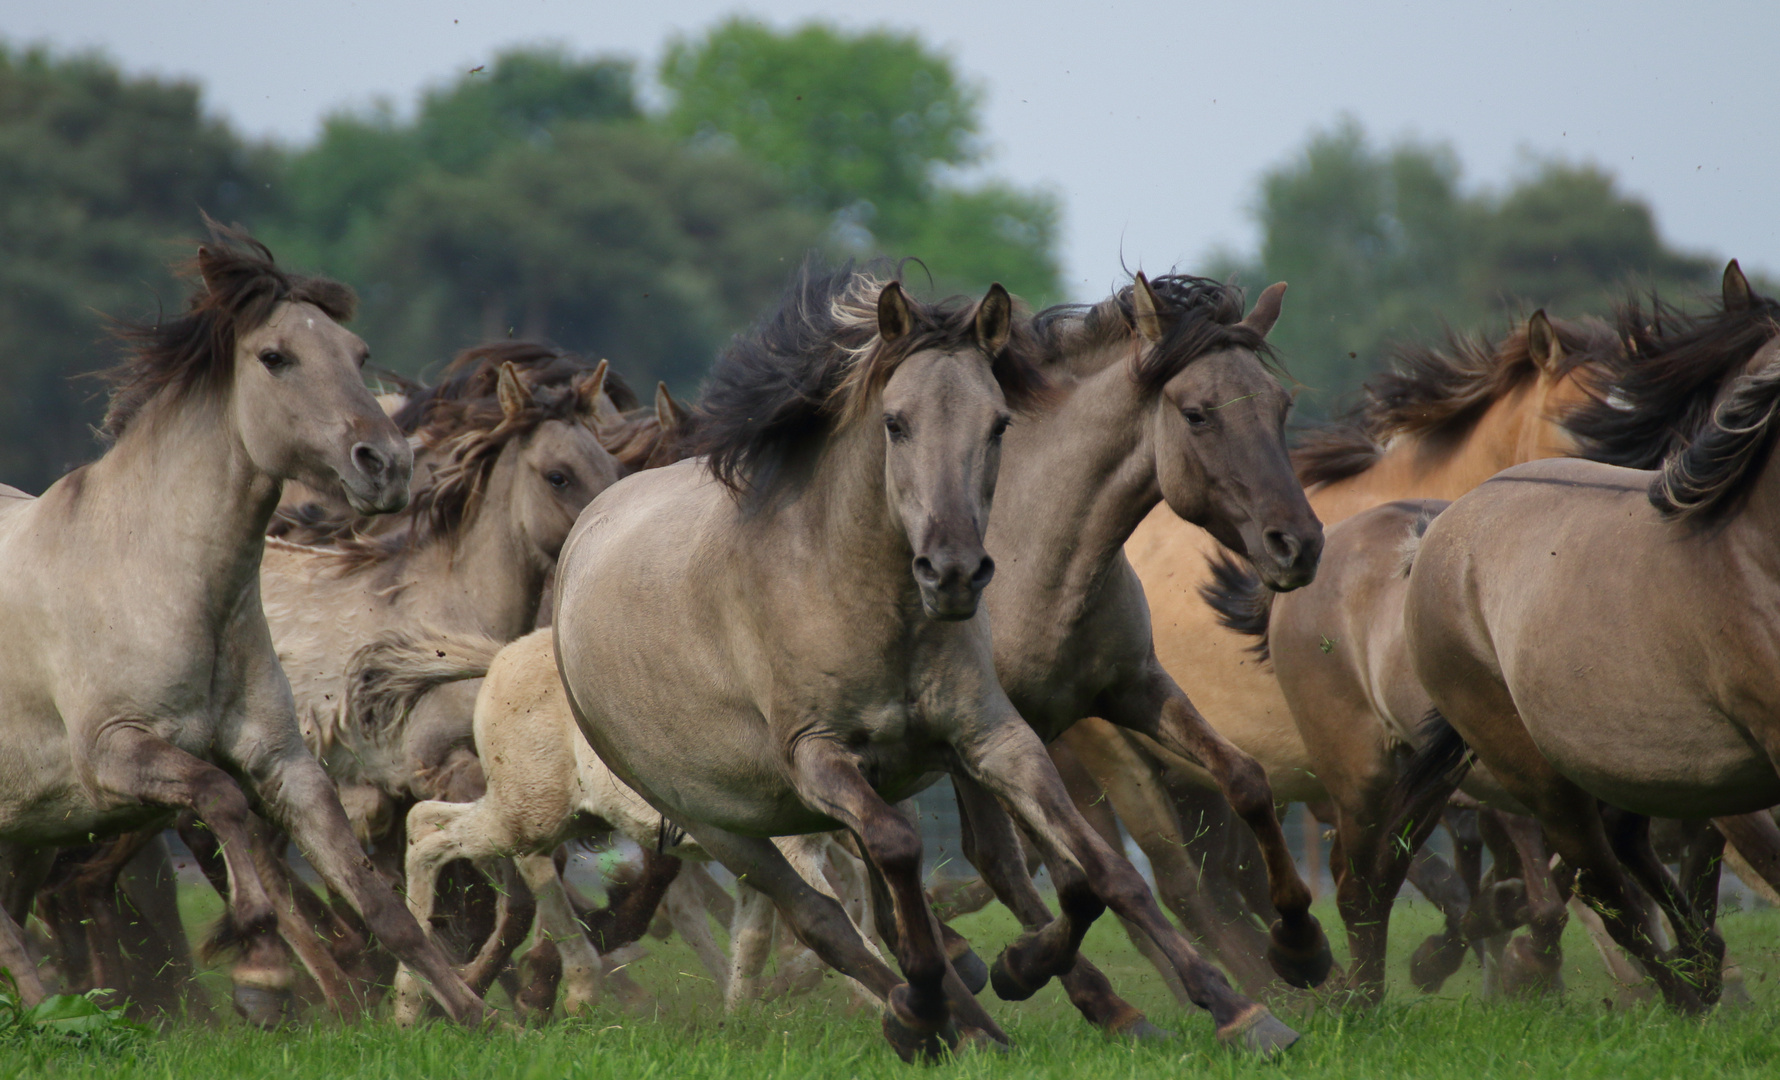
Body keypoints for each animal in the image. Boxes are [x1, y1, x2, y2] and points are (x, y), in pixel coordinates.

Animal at [0, 225, 480, 1024]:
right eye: (274, 357)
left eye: (358, 354)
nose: (386, 464)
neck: (158, 579)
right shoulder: (114, 753)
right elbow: (218, 795)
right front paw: (256, 941)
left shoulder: (281, 759)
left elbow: (379, 902)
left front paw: (477, 1014)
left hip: (31, 825)